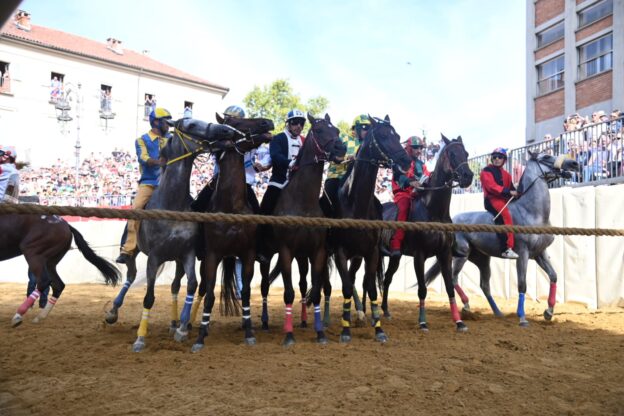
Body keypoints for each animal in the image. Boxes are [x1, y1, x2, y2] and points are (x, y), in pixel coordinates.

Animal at [102, 118, 244, 354]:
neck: (172, 204)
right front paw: (140, 338)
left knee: (175, 286)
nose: (227, 131)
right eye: (191, 124)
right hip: (134, 252)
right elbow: (149, 297)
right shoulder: (154, 258)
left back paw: (174, 322)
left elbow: (192, 285)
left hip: (177, 260)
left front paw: (182, 329)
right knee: (130, 276)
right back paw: (113, 311)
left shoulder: (186, 254)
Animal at [260, 112, 344, 346]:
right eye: (318, 130)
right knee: (264, 285)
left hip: (302, 256)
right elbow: (288, 293)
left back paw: (305, 321)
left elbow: (313, 292)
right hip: (267, 255)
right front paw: (288, 335)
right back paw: (264, 322)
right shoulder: (285, 251)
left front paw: (320, 332)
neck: (303, 202)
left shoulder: (317, 252)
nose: (341, 148)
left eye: (337, 130)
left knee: (304, 283)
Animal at [330, 114, 412, 342]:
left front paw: (379, 329)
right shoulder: (339, 251)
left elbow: (370, 287)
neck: (355, 203)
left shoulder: (371, 252)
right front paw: (345, 330)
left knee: (355, 278)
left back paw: (360, 313)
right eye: (383, 136)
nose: (406, 161)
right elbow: (346, 287)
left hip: (358, 256)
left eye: (398, 136)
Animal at [378, 136, 476, 332]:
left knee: (386, 279)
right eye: (452, 153)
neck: (433, 211)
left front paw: (459, 321)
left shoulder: (445, 254)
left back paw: (385, 311)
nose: (468, 176)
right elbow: (422, 289)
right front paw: (422, 322)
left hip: (394, 257)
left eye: (466, 153)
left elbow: (449, 286)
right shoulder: (419, 255)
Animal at [426, 151, 576, 326]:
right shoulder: (522, 254)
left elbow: (554, 276)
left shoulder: (540, 253)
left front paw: (549, 311)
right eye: (545, 157)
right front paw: (522, 317)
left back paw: (497, 312)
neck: (532, 213)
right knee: (454, 278)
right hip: (462, 256)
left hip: (482, 260)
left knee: (484, 285)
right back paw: (467, 305)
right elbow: (522, 285)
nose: (573, 164)